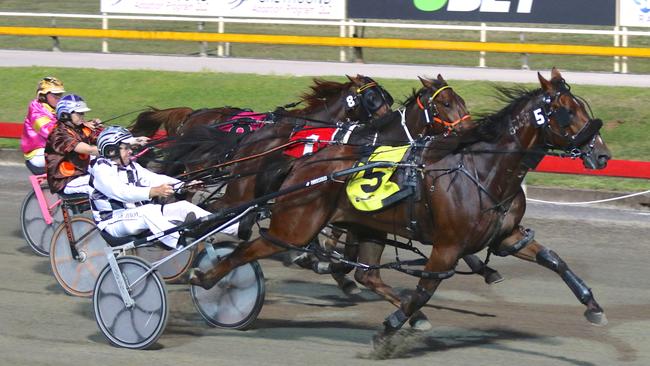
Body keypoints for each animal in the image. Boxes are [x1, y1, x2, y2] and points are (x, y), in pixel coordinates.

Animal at [186, 68, 608, 344]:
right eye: (567, 112)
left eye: (583, 107)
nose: (601, 154)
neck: (481, 168)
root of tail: (299, 163)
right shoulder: (447, 245)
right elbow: (425, 286)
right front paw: (391, 325)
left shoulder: (506, 235)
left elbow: (553, 259)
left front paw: (592, 305)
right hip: (292, 223)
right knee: (243, 243)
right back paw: (209, 278)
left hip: (361, 225)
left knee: (367, 274)